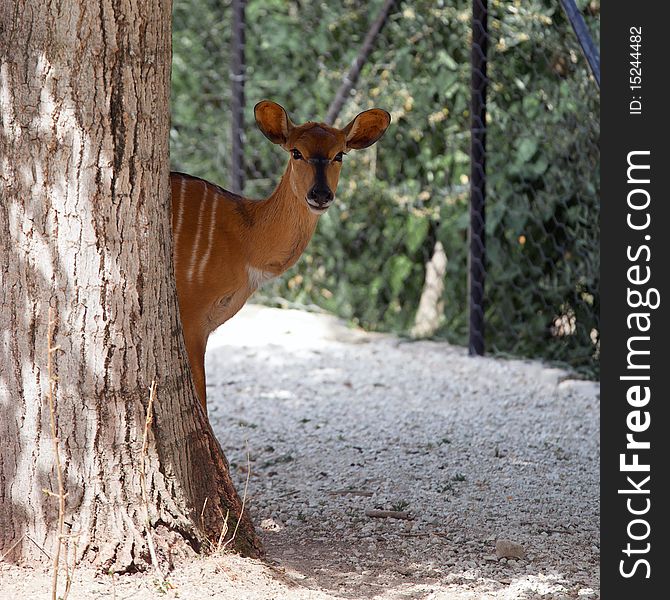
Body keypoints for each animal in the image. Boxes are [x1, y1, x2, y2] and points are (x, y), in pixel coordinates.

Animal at [171, 101, 392, 410]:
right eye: (296, 152)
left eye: (339, 155)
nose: (320, 195)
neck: (245, 241)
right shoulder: (191, 318)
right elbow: (201, 398)